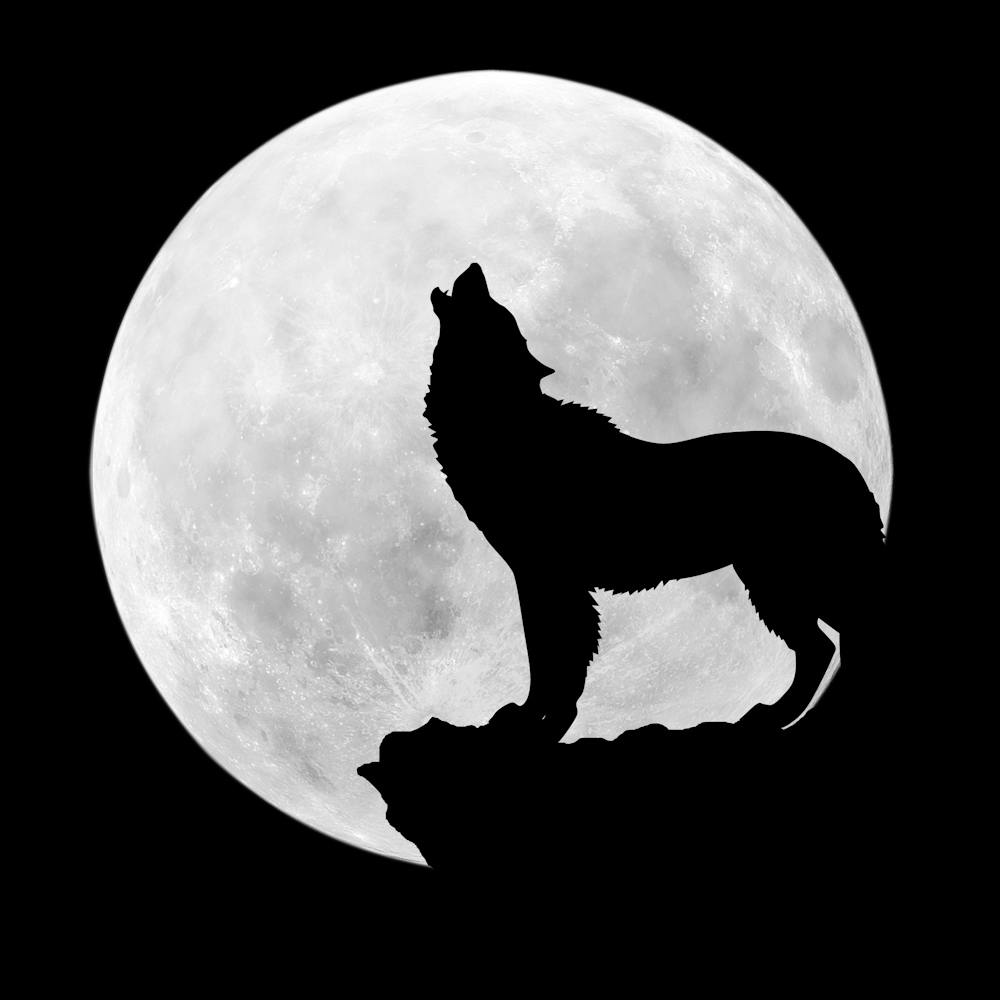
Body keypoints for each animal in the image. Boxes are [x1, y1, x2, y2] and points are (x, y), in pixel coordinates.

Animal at [425, 263, 887, 741]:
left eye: (498, 314)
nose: (475, 267)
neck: (507, 424)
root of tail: (853, 470)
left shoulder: (547, 576)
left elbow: (554, 660)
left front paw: (541, 720)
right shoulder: (542, 577)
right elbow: (555, 661)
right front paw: (546, 719)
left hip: (788, 578)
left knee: (835, 642)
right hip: (780, 579)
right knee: (823, 647)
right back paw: (771, 718)